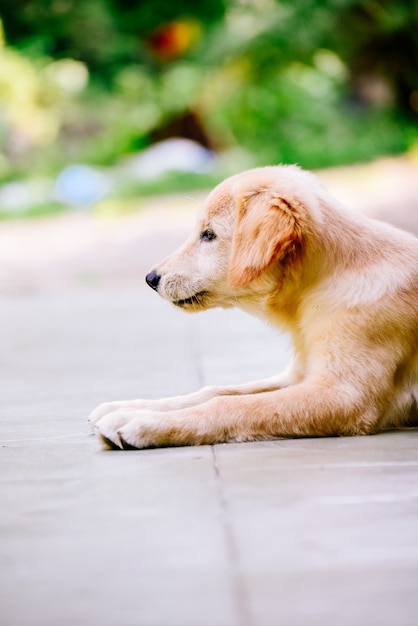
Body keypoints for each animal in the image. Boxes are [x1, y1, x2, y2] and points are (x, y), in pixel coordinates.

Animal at [89, 166, 418, 448]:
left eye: (209, 235)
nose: (150, 279)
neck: (326, 281)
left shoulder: (345, 395)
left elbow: (232, 404)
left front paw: (142, 422)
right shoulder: (299, 375)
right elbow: (218, 391)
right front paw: (127, 408)